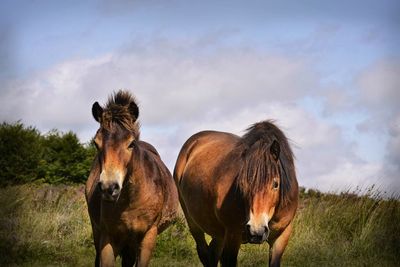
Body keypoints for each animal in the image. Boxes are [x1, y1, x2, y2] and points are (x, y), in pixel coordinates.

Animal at [86, 91, 178, 266]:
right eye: (96, 143)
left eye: (131, 144)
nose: (109, 188)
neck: (129, 201)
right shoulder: (107, 237)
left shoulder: (148, 236)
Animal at [173, 121, 298, 267]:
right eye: (243, 183)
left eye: (276, 184)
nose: (256, 231)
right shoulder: (233, 235)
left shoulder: (282, 236)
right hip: (195, 224)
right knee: (204, 252)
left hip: (220, 233)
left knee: (214, 252)